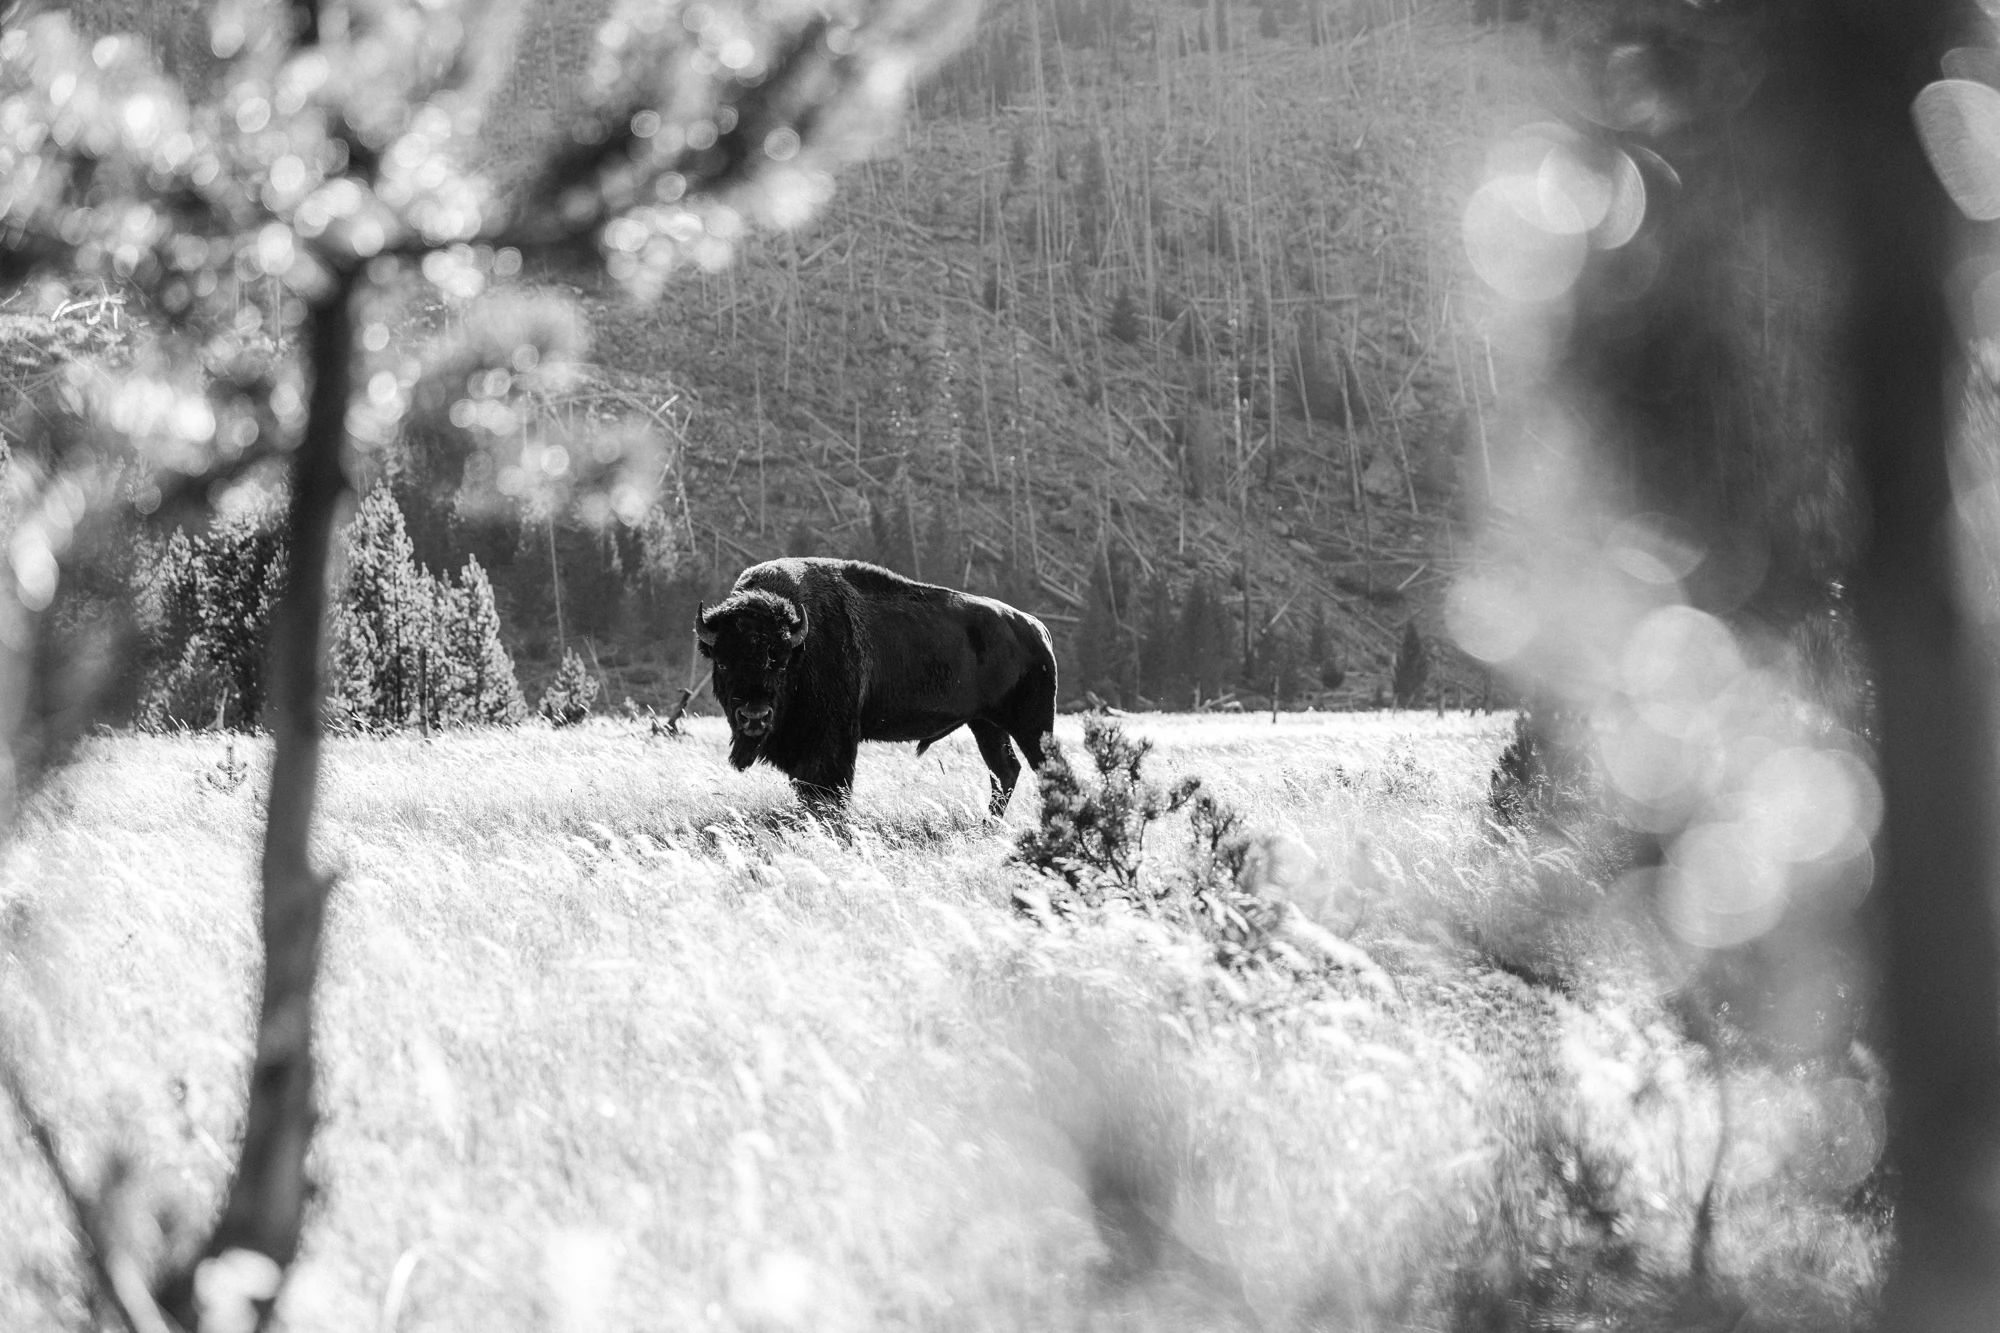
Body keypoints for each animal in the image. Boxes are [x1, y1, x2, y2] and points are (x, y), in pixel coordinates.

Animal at [695, 557, 1059, 816]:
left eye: (780, 662)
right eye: (723, 662)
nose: (755, 716)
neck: (803, 644)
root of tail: (1037, 629)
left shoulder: (831, 741)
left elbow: (828, 790)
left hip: (1032, 725)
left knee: (1041, 768)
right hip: (986, 724)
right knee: (1005, 770)